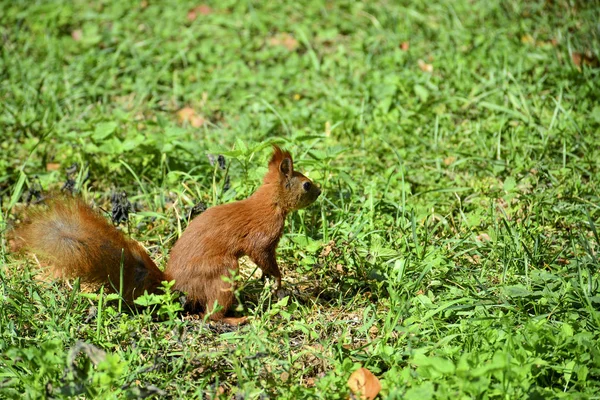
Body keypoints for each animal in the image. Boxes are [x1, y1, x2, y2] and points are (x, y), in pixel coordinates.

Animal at [11, 146, 322, 324]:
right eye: (306, 185)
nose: (320, 191)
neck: (271, 202)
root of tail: (174, 286)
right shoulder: (262, 233)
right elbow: (262, 254)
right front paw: (278, 279)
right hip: (221, 273)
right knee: (210, 315)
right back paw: (234, 320)